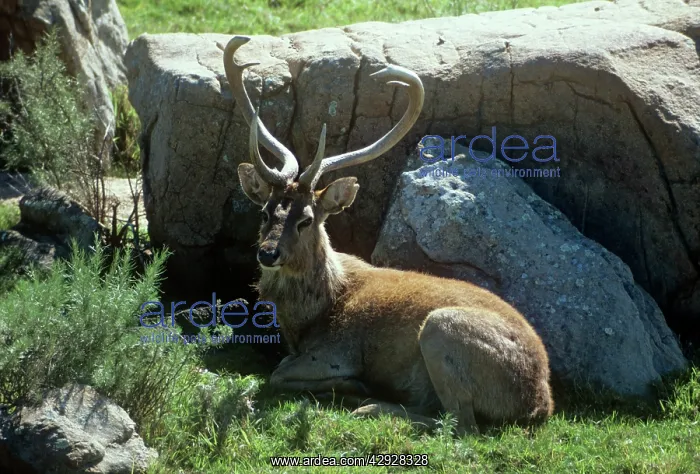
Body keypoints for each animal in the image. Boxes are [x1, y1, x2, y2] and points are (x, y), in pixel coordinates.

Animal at [218, 35, 554, 435]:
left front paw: (351, 386)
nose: (268, 253)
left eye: (307, 219)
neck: (309, 317)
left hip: (442, 330)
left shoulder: (336, 352)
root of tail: (541, 403)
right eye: (266, 212)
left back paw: (372, 404)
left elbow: (279, 373)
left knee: (461, 425)